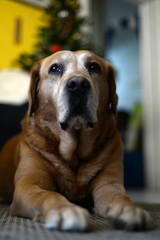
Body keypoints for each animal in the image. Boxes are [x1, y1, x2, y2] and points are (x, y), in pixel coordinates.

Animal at [0, 50, 149, 231]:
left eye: (94, 67)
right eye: (54, 68)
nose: (78, 83)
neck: (74, 152)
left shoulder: (109, 185)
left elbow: (120, 197)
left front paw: (128, 209)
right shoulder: (30, 185)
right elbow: (48, 195)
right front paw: (65, 209)